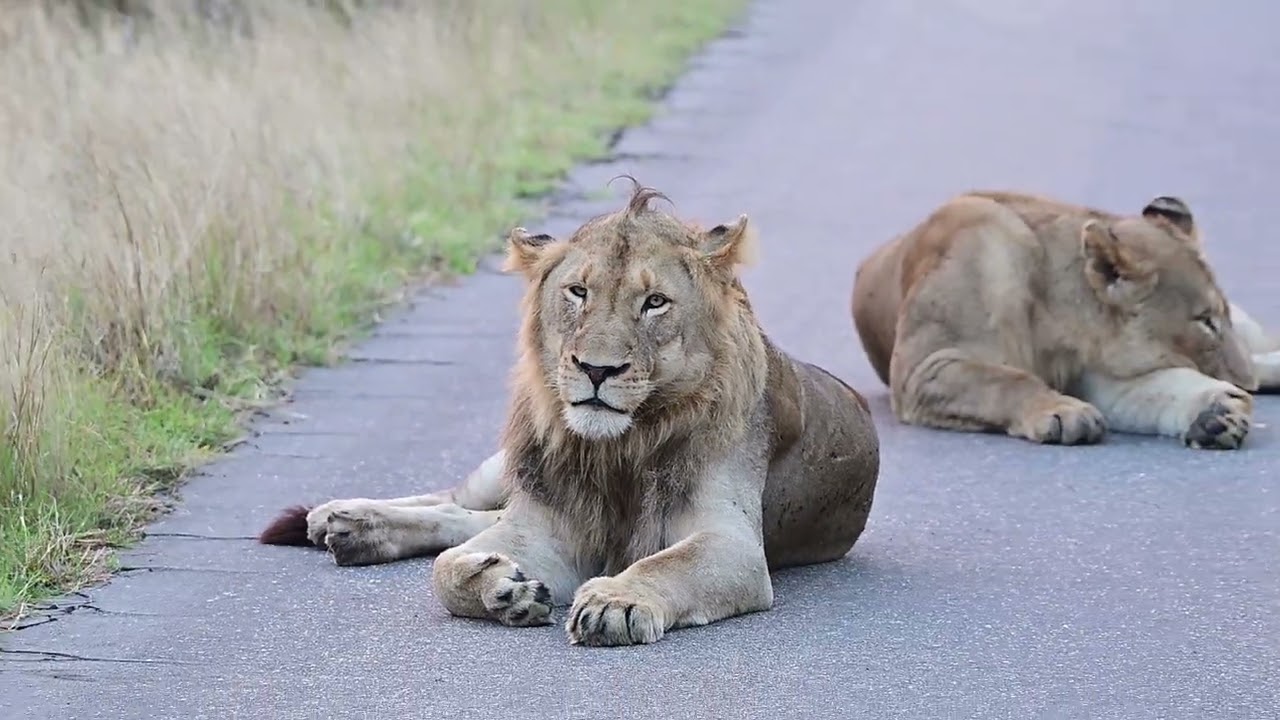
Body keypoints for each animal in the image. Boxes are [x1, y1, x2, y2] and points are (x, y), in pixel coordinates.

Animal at [260, 181, 881, 647]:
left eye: (655, 303)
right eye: (578, 292)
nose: (596, 370)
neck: (619, 447)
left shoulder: (734, 545)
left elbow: (663, 565)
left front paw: (615, 600)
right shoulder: (544, 522)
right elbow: (445, 570)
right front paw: (503, 588)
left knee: (468, 515)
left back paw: (350, 529)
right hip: (507, 467)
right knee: (458, 500)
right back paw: (341, 517)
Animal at [850, 190, 1270, 450]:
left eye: (1220, 317)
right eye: (1204, 321)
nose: (1244, 382)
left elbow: (1159, 390)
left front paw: (1218, 411)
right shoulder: (926, 366)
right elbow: (1004, 379)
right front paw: (1064, 413)